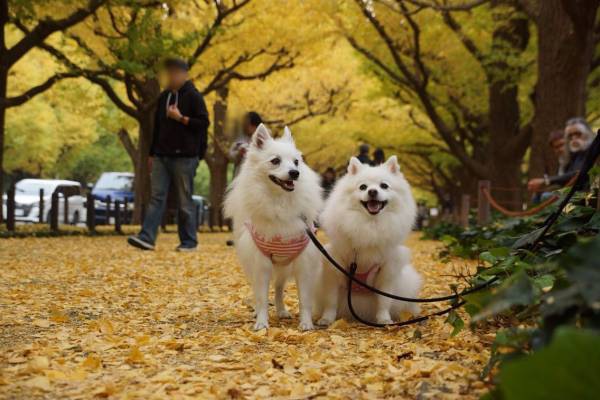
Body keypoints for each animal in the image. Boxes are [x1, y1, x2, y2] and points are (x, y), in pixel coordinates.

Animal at [224, 123, 324, 330]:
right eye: (275, 161)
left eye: (296, 162)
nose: (295, 173)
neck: (280, 201)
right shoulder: (261, 264)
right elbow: (262, 298)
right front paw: (262, 322)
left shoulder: (304, 264)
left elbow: (305, 299)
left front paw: (306, 323)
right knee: (257, 290)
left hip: (284, 267)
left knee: (278, 289)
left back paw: (282, 311)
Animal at [314, 155, 422, 326]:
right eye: (363, 187)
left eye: (384, 186)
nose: (372, 191)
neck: (369, 225)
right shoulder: (334, 270)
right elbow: (331, 300)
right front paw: (327, 319)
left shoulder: (386, 271)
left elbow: (384, 301)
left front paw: (384, 319)